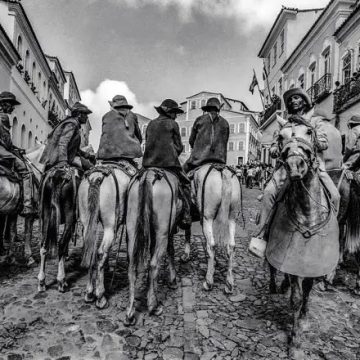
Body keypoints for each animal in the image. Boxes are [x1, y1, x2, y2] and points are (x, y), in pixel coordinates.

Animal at [79, 161, 136, 310]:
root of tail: (96, 177)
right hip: (110, 226)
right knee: (100, 253)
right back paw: (100, 296)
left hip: (87, 223)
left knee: (91, 251)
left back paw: (89, 293)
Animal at [181, 163, 240, 292]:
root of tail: (223, 171)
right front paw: (215, 262)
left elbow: (188, 233)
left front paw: (186, 255)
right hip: (232, 218)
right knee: (231, 246)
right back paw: (229, 283)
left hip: (207, 217)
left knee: (211, 245)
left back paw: (208, 281)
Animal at [264, 124, 340, 358]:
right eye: (281, 137)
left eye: (309, 132)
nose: (294, 165)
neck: (307, 213)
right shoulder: (290, 258)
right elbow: (296, 298)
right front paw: (295, 342)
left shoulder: (312, 263)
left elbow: (307, 291)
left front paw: (304, 318)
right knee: (272, 267)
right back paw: (275, 285)